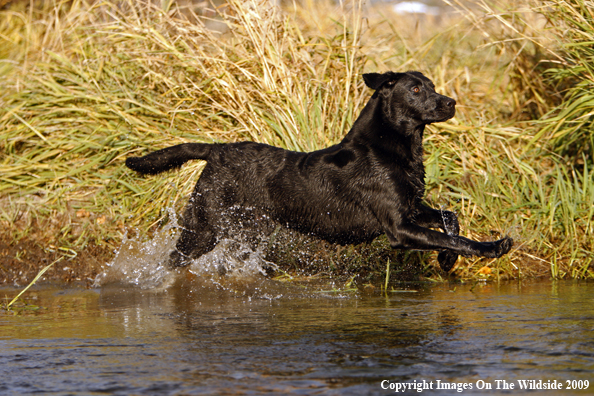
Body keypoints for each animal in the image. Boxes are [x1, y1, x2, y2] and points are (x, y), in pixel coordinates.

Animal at [127, 71, 512, 270]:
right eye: (416, 89)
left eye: (431, 86)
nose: (451, 102)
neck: (390, 147)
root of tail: (217, 149)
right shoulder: (399, 228)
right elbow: (455, 236)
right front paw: (493, 247)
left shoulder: (412, 208)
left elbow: (450, 219)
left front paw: (447, 259)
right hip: (204, 227)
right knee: (171, 260)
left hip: (247, 229)